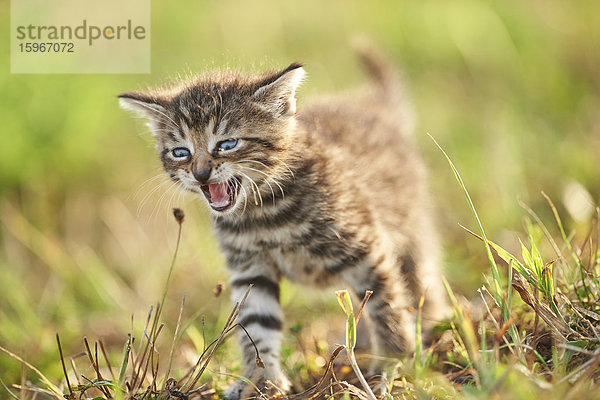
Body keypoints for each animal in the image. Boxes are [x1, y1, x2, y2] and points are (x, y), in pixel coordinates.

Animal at [119, 48, 450, 398]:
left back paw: (431, 325)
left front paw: (392, 362)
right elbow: (256, 324)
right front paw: (260, 380)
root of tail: (372, 106)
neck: (263, 210)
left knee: (419, 276)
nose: (200, 174)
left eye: (226, 144)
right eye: (181, 152)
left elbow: (385, 303)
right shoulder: (250, 269)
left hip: (411, 225)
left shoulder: (365, 247)